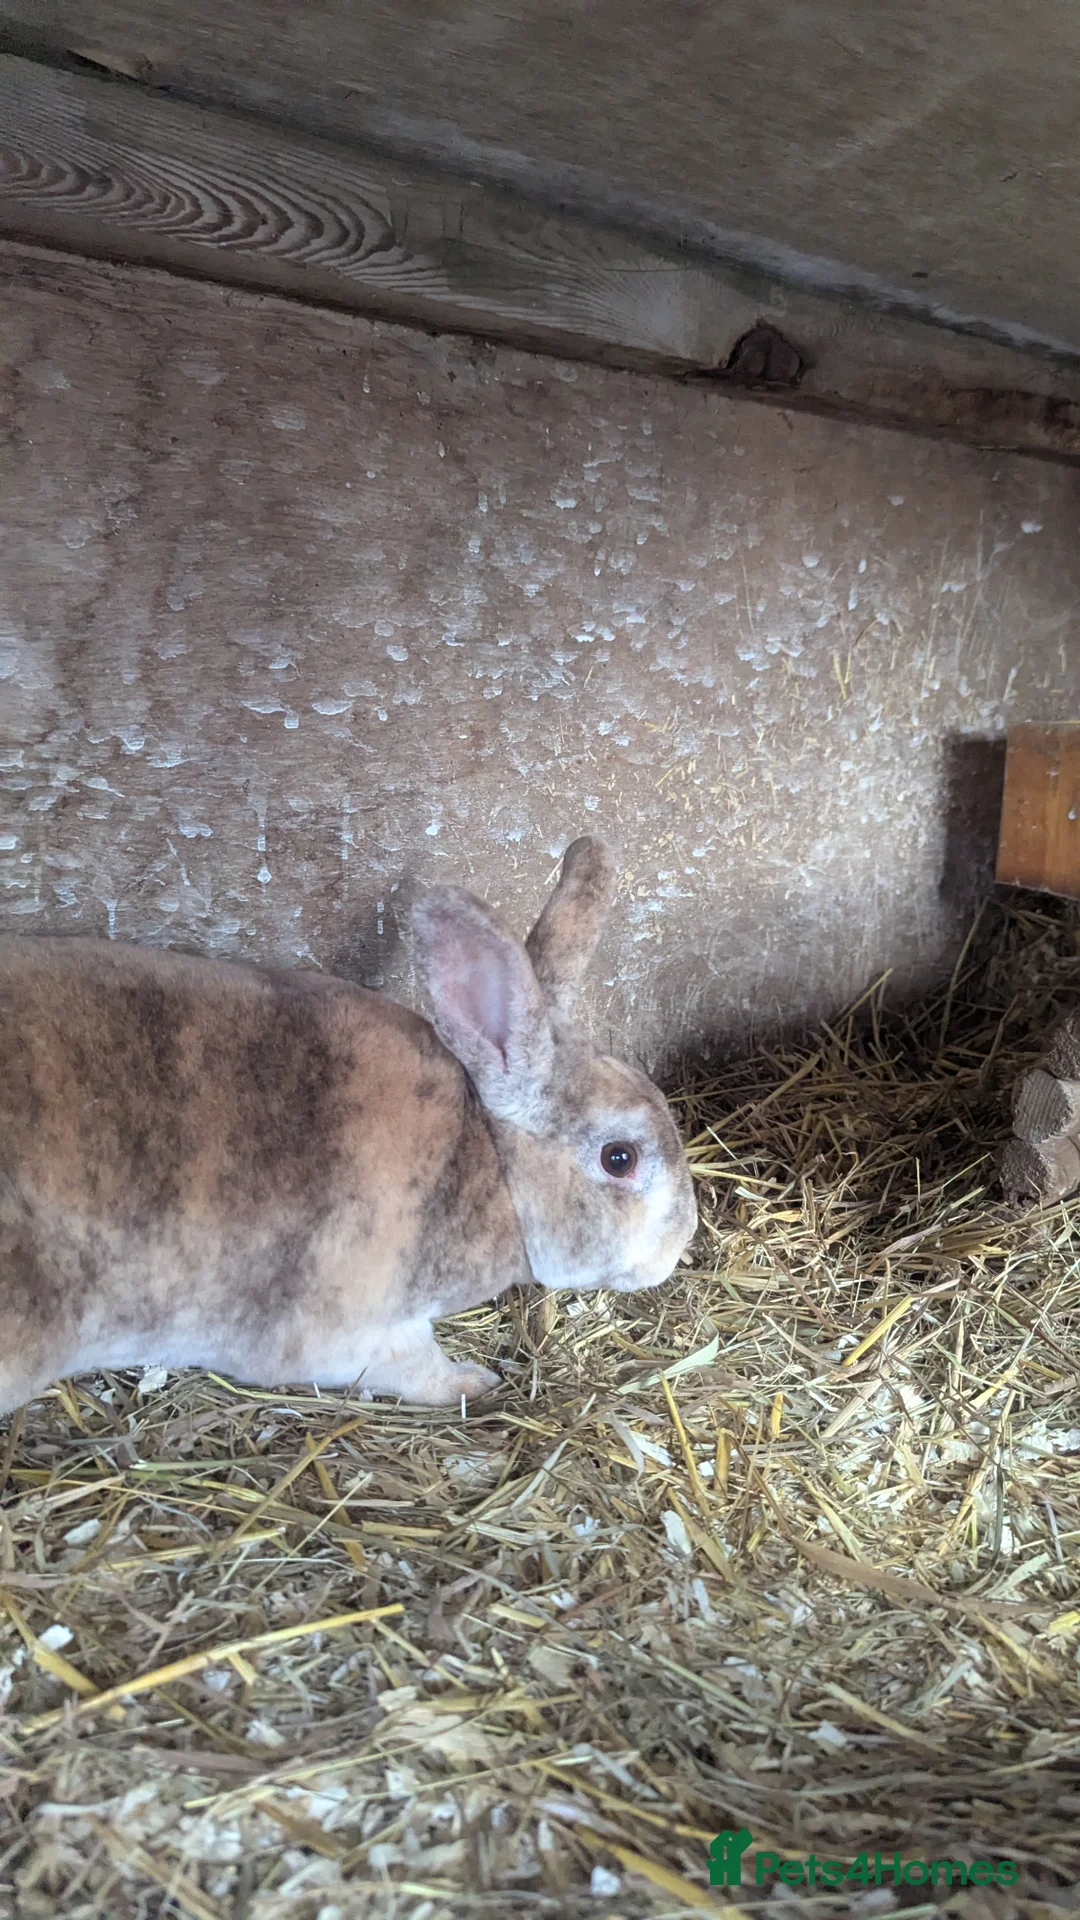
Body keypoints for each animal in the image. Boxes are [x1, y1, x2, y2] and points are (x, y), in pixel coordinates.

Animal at [0, 836, 697, 1416]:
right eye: (619, 1158)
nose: (681, 1242)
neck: (491, 1167)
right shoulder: (364, 1335)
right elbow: (421, 1369)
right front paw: (476, 1381)